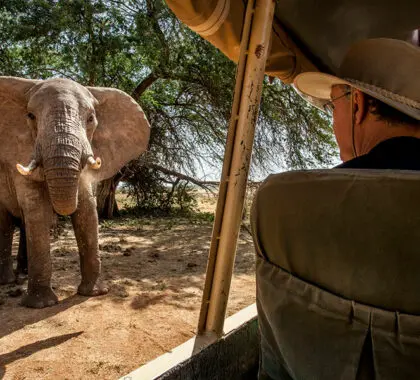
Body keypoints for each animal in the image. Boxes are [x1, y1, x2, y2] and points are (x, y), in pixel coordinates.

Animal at [0, 77, 151, 308]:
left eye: (90, 119)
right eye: (30, 116)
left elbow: (86, 211)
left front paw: (94, 293)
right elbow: (37, 212)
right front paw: (41, 305)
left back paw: (22, 275)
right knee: (5, 224)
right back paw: (7, 281)